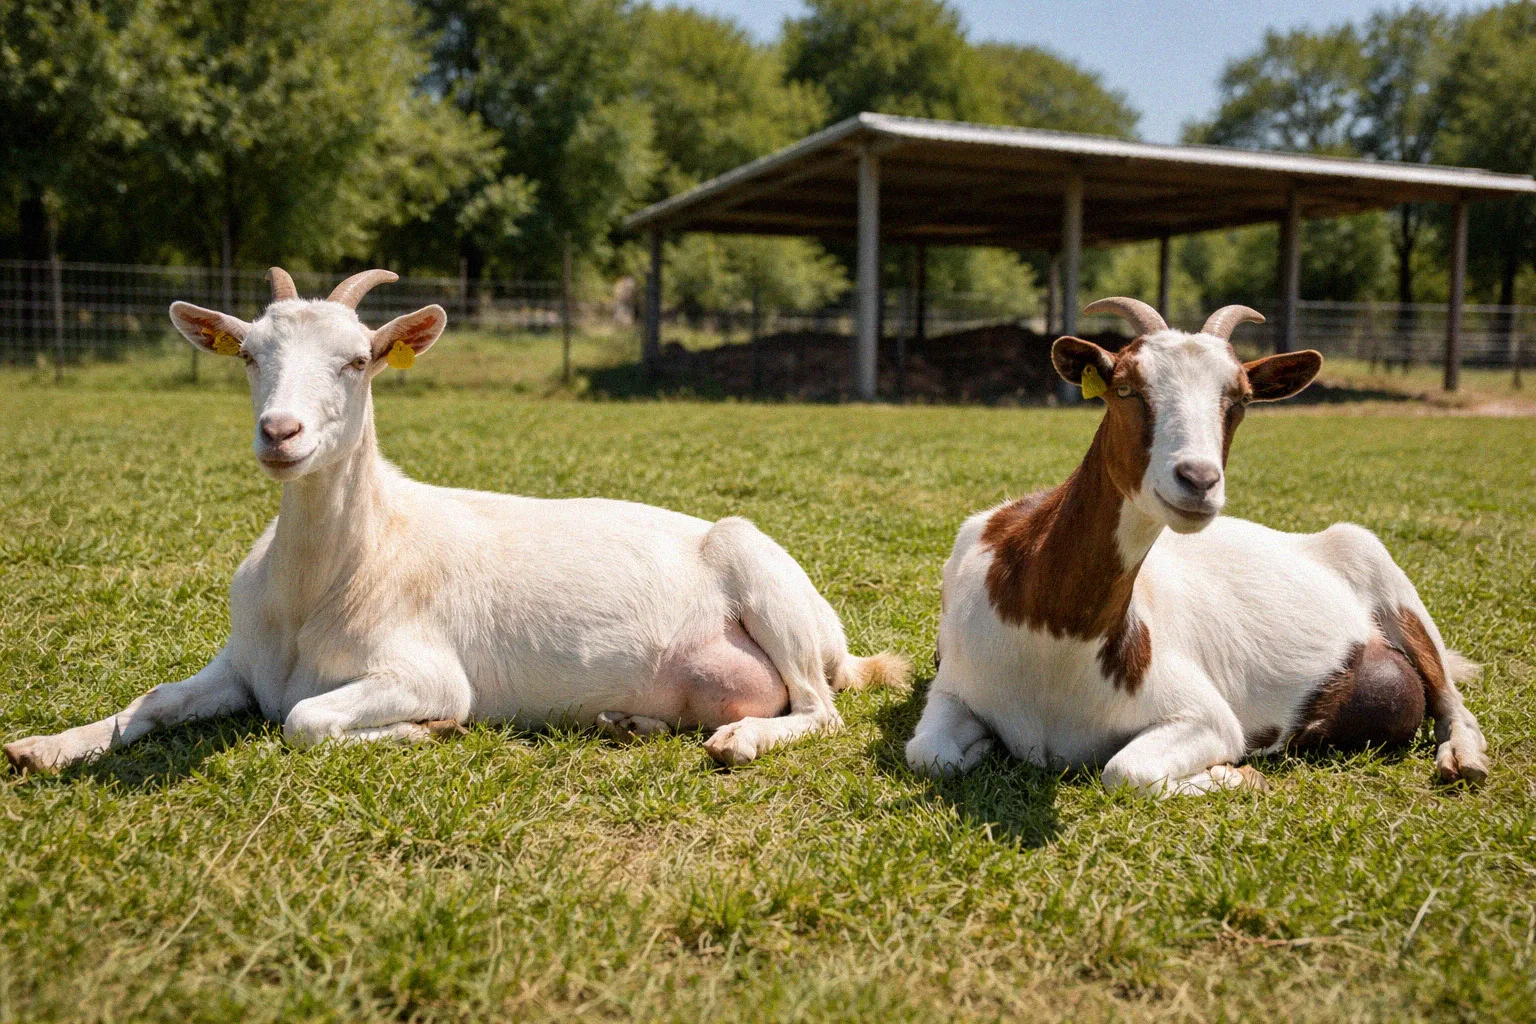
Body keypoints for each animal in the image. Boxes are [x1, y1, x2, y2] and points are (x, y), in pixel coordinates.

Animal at [5, 269, 907, 774]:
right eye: (251, 355)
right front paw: (44, 747)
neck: (333, 578)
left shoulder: (424, 667)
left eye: (359, 359)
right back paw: (630, 722)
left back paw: (742, 742)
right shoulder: (240, 663)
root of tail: (841, 644)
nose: (280, 434)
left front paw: (423, 733)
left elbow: (302, 720)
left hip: (765, 576)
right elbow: (158, 698)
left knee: (818, 709)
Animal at [905, 297, 1488, 796]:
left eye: (1241, 401)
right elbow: (929, 754)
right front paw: (979, 746)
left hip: (1381, 569)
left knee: (1447, 695)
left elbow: (1126, 771)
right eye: (1125, 388)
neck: (1050, 631)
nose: (1198, 479)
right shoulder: (952, 683)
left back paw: (1464, 758)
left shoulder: (1205, 715)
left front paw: (1239, 775)